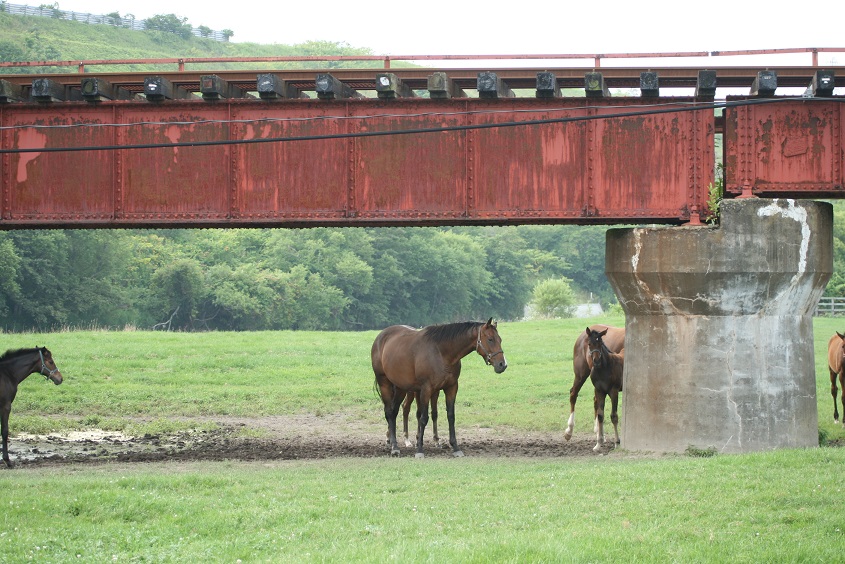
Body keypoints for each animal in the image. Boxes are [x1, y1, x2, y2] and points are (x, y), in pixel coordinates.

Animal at [372, 318, 504, 458]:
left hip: (401, 388)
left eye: (500, 339)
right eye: (490, 339)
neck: (441, 352)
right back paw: (394, 446)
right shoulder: (426, 389)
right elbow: (423, 418)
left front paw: (455, 447)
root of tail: (381, 337)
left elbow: (450, 416)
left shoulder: (451, 388)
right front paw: (420, 449)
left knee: (395, 411)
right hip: (384, 383)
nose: (502, 364)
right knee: (389, 412)